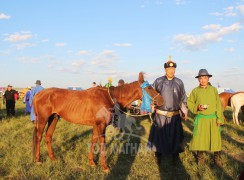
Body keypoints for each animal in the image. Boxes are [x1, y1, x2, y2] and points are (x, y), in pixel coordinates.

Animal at [31, 72, 162, 172]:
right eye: (149, 88)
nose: (162, 100)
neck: (107, 97)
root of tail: (37, 95)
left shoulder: (96, 125)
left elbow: (93, 140)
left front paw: (92, 162)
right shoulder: (101, 125)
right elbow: (102, 143)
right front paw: (105, 166)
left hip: (54, 118)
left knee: (48, 136)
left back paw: (53, 158)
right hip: (42, 119)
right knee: (38, 136)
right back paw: (38, 160)